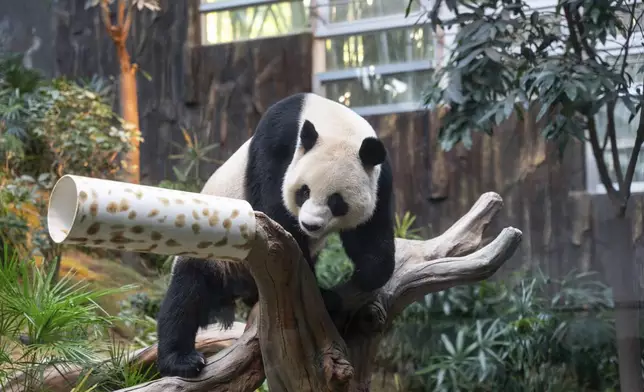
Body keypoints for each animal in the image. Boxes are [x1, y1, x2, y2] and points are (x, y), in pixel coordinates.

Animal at [157, 91, 398, 376]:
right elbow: (275, 209)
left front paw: (366, 274)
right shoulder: (277, 142)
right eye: (304, 191)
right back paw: (181, 360)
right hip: (211, 250)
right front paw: (324, 296)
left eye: (337, 201)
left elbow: (371, 229)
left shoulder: (380, 176)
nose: (310, 225)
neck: (331, 121)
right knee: (186, 294)